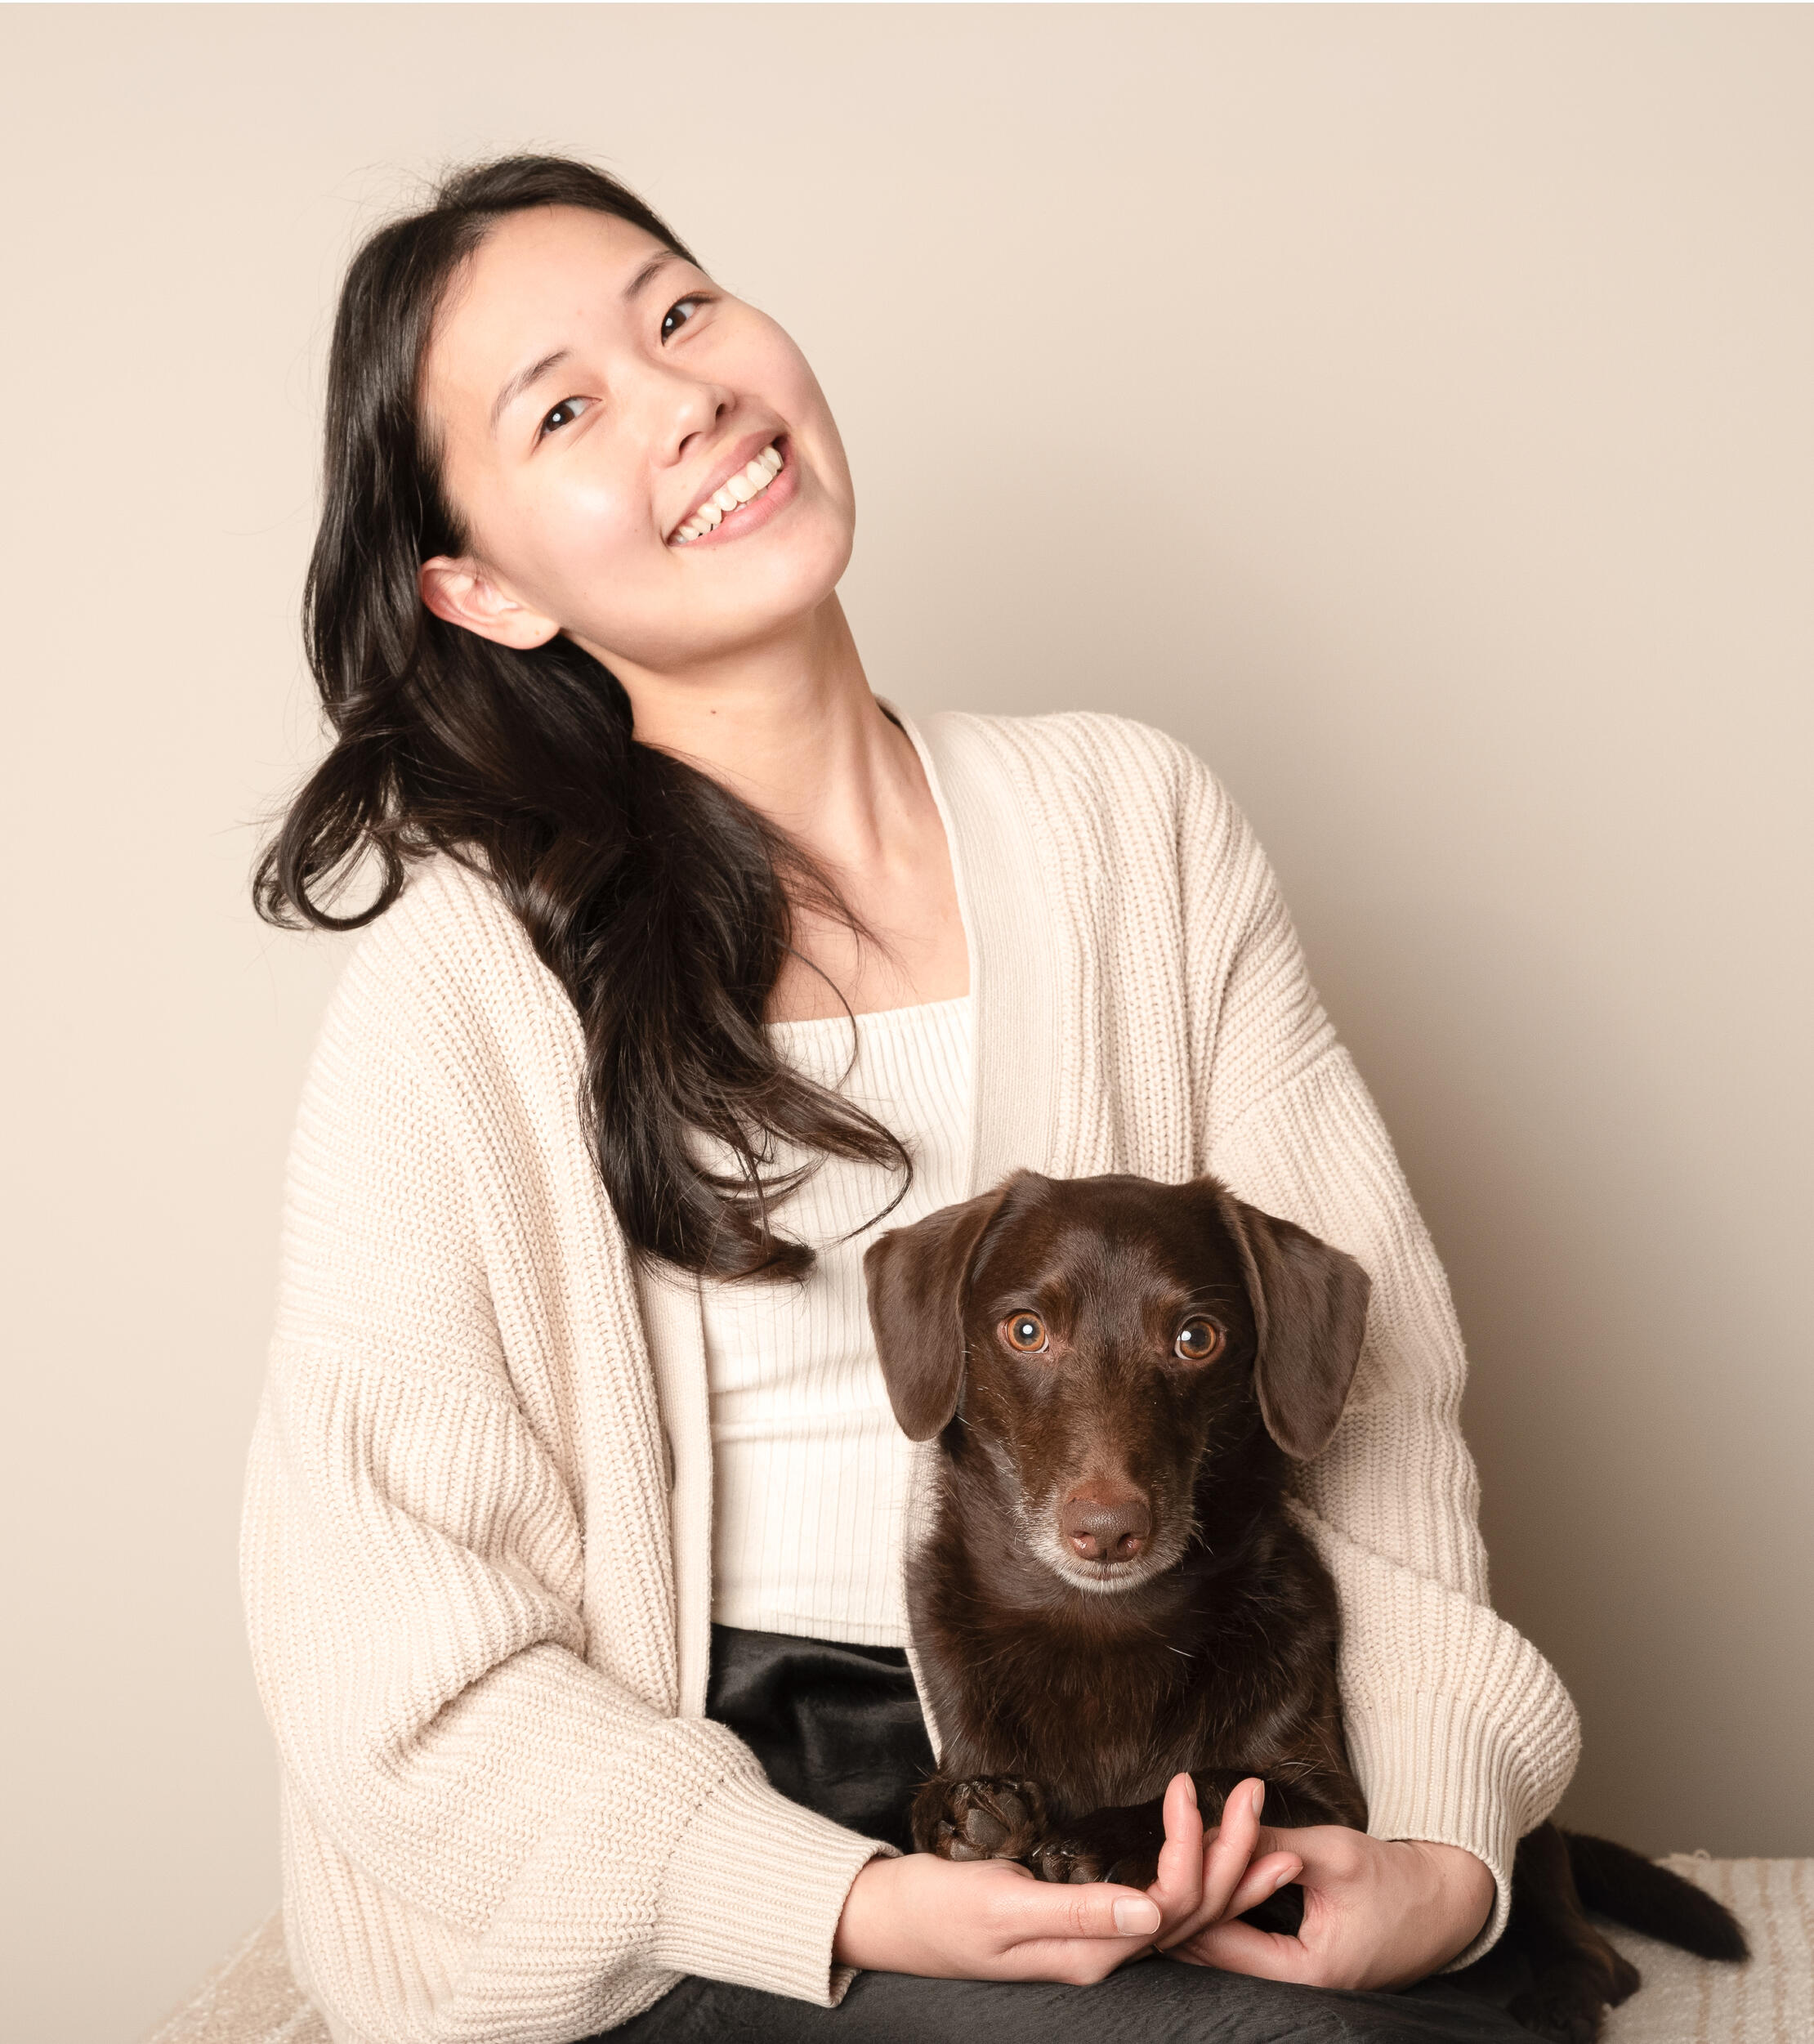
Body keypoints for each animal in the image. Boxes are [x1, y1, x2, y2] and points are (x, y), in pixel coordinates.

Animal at [862, 1169, 1746, 2044]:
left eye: (1196, 1338)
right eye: (1025, 1329)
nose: (1108, 1529)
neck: (1105, 1626)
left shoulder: (1332, 1805)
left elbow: (1215, 1782)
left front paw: (1107, 1836)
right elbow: (936, 1800)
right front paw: (968, 1808)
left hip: (1528, 1835)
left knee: (1600, 1950)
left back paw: (1562, 1998)